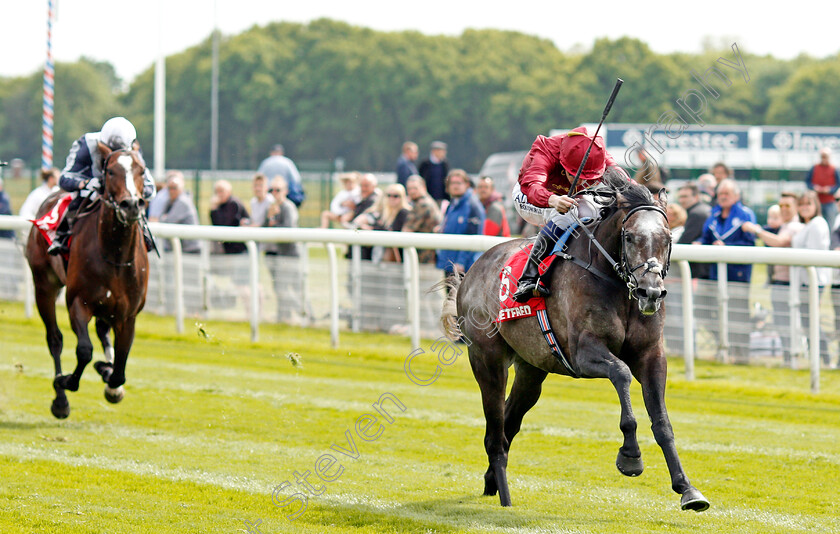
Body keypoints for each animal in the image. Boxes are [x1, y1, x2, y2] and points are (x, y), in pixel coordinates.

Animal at [25, 144, 149, 420]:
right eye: (110, 171)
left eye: (142, 170)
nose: (131, 205)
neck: (115, 254)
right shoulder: (78, 303)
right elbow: (83, 350)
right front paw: (65, 382)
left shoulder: (128, 315)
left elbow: (121, 365)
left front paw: (110, 377)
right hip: (44, 285)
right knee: (55, 339)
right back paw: (61, 399)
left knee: (103, 332)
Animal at [442, 173, 712, 516]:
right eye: (629, 238)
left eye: (667, 238)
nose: (650, 293)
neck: (616, 284)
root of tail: (473, 271)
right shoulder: (583, 353)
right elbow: (621, 373)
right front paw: (631, 456)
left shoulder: (652, 355)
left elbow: (662, 422)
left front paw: (687, 489)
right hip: (486, 360)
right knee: (495, 431)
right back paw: (504, 496)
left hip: (531, 369)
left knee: (508, 424)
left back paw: (492, 481)